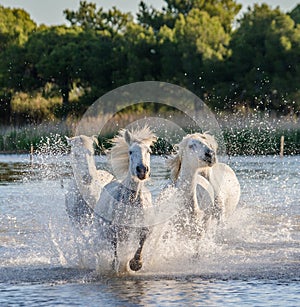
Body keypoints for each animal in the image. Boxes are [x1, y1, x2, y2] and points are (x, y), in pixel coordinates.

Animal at [95, 126, 157, 274]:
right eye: (130, 151)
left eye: (149, 151)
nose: (142, 170)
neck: (131, 201)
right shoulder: (114, 230)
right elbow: (115, 253)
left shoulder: (144, 227)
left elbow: (141, 242)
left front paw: (136, 264)